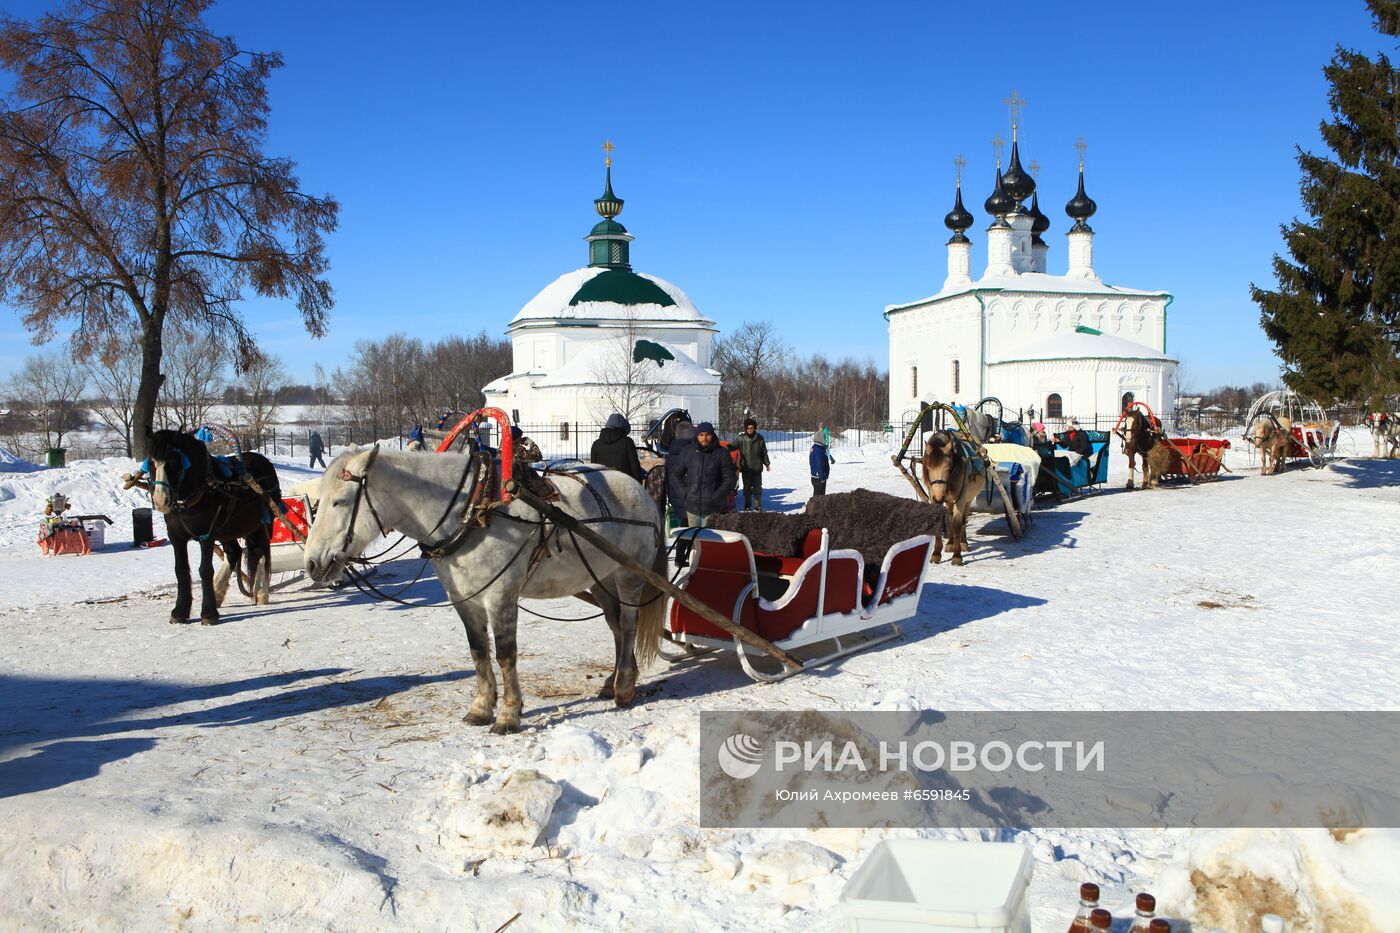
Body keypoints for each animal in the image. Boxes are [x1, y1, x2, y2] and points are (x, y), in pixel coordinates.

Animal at [306, 448, 666, 728]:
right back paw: (615, 680)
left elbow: (506, 654)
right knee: (616, 626)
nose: (312, 563)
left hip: (629, 575)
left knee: (629, 625)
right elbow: (478, 651)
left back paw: (623, 687)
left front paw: (508, 714)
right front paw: (480, 708)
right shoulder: (463, 599)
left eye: (340, 502)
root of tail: (641, 491)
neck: (470, 513)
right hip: (601, 578)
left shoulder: (500, 595)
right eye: (318, 502)